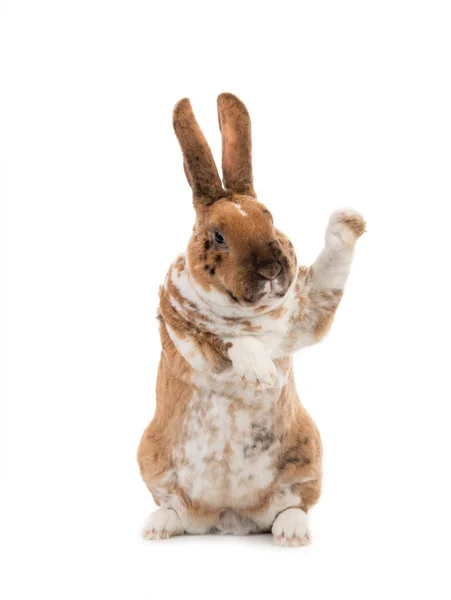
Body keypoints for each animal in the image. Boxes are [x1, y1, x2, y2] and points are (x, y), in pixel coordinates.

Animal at [136, 91, 366, 548]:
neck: (247, 313)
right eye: (218, 236)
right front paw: (259, 373)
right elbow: (228, 343)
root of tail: (229, 517)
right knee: (177, 511)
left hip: (308, 453)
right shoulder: (184, 333)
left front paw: (349, 219)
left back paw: (291, 533)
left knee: (292, 506)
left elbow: (328, 276)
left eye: (270, 217)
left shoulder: (307, 312)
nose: (273, 270)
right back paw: (157, 526)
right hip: (150, 457)